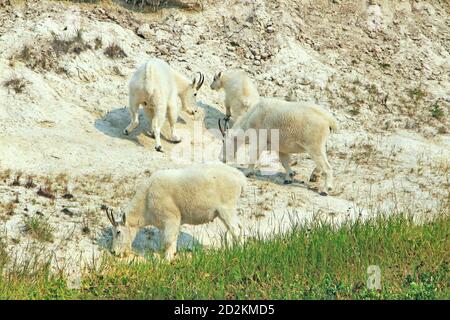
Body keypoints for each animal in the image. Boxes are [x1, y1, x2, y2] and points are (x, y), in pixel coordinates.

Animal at [104, 162, 248, 260]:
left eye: (118, 232)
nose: (113, 252)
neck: (147, 199)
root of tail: (240, 178)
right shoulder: (164, 224)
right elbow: (167, 240)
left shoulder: (171, 218)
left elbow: (169, 240)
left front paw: (167, 259)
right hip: (228, 211)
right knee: (240, 227)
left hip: (226, 208)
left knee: (235, 229)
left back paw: (239, 252)